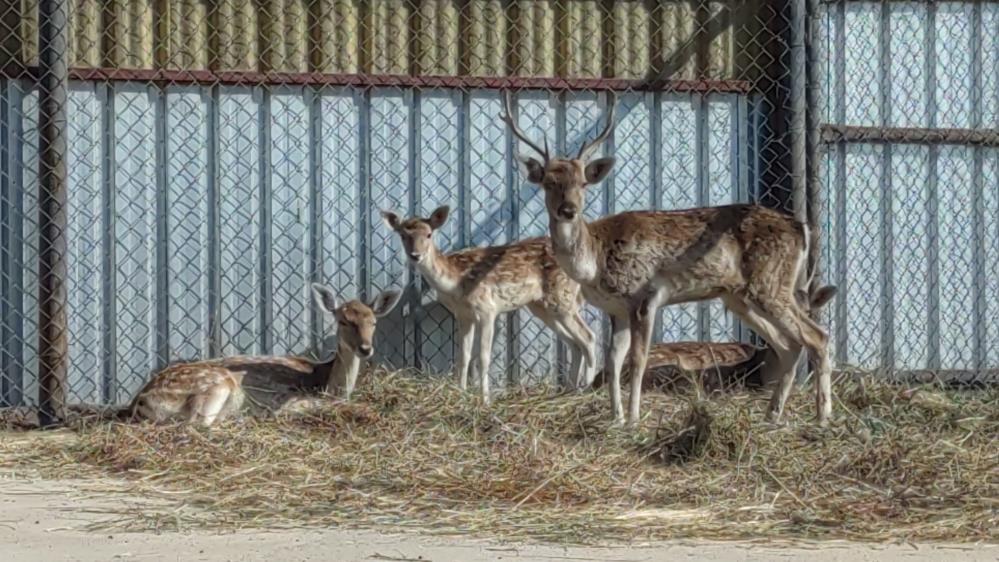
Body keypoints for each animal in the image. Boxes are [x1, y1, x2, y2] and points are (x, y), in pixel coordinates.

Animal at [129, 282, 402, 426]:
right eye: (343, 321)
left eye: (373, 322)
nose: (365, 348)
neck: (326, 381)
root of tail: (139, 402)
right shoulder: (291, 398)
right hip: (216, 385)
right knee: (196, 424)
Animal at [380, 203, 596, 400]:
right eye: (403, 235)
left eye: (428, 234)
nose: (415, 255)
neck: (455, 283)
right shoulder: (463, 315)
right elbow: (464, 356)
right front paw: (461, 394)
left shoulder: (488, 309)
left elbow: (483, 357)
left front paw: (485, 399)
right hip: (543, 305)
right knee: (575, 343)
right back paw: (568, 392)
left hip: (562, 296)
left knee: (588, 337)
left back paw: (588, 390)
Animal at [500, 93, 836, 424]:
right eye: (549, 182)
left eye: (583, 182)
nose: (568, 210)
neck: (593, 263)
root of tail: (802, 227)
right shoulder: (616, 309)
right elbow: (613, 362)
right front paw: (615, 417)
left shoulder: (644, 296)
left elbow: (637, 359)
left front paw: (634, 418)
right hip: (741, 297)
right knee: (789, 345)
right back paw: (772, 414)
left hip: (770, 283)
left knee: (817, 336)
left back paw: (822, 416)